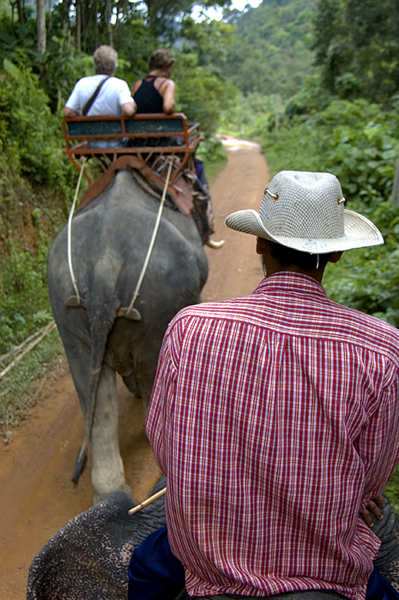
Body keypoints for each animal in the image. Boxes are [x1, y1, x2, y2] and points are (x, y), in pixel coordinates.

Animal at [48, 169, 208, 502]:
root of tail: (104, 267)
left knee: (95, 395)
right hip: (158, 305)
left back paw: (109, 493)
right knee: (149, 371)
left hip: (66, 310)